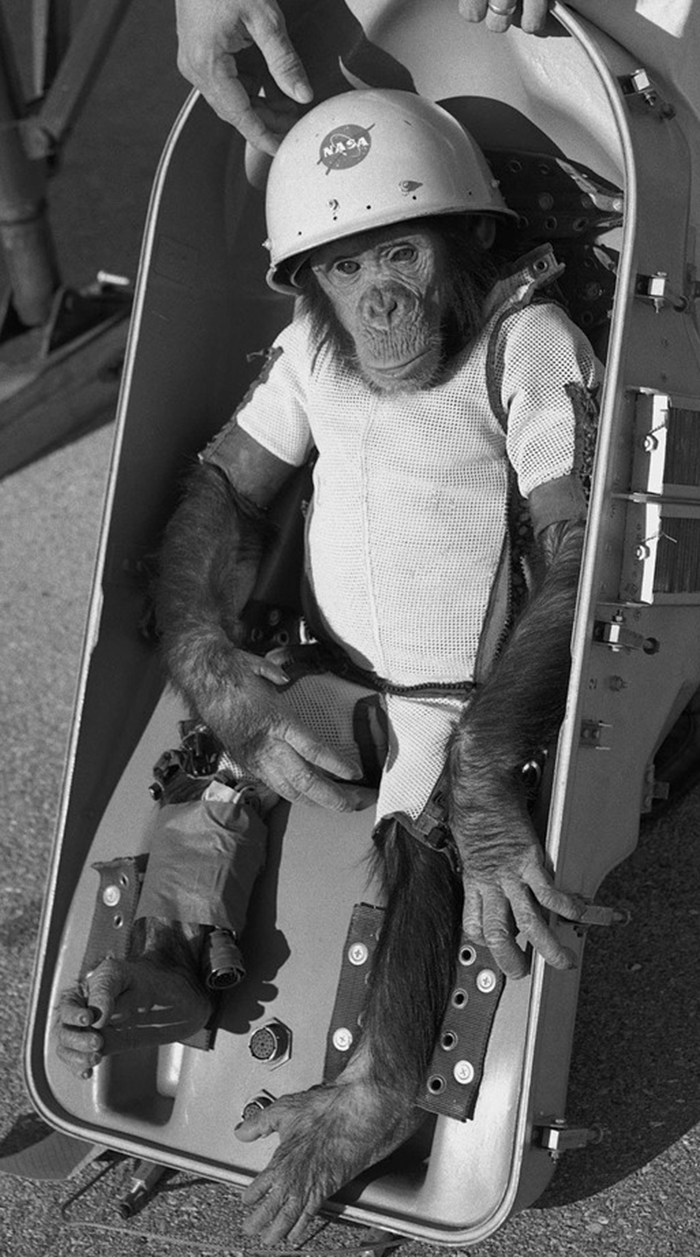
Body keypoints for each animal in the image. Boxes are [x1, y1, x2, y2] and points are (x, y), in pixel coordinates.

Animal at [56, 90, 598, 1245]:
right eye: (345, 267)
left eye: (402, 248)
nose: (382, 302)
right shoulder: (292, 363)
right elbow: (234, 479)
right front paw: (233, 695)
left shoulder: (546, 351)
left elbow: (570, 544)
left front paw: (489, 818)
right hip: (312, 681)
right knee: (234, 774)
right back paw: (142, 991)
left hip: (426, 720)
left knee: (416, 843)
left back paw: (365, 1104)